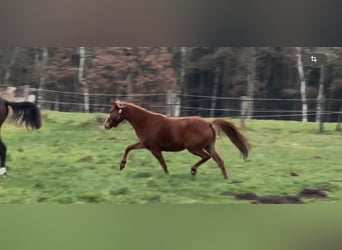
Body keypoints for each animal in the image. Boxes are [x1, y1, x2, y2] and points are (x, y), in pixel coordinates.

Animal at [103, 99, 250, 180]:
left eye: (111, 111)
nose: (106, 125)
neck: (146, 122)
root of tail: (208, 123)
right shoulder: (145, 145)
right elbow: (129, 147)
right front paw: (122, 165)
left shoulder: (153, 148)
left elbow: (163, 163)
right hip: (209, 146)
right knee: (219, 161)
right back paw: (226, 180)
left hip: (194, 148)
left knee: (206, 157)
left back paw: (193, 170)